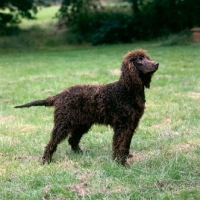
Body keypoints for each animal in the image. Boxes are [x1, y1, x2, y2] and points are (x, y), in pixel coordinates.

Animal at [14, 49, 159, 165]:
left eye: (147, 58)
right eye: (140, 60)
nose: (157, 63)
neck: (127, 90)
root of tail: (59, 95)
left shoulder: (131, 123)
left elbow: (126, 143)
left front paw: (126, 157)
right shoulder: (122, 125)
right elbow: (120, 144)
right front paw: (120, 162)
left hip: (82, 123)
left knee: (72, 139)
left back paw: (79, 152)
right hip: (63, 123)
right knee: (53, 142)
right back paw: (46, 160)